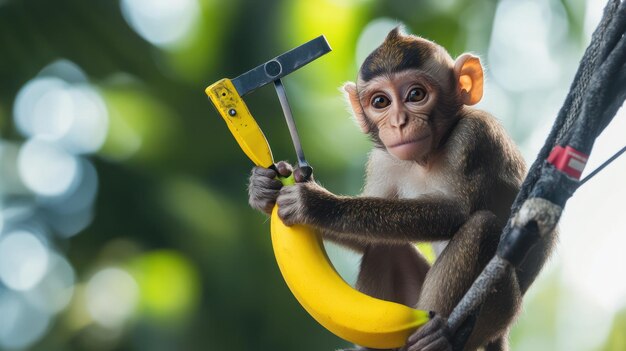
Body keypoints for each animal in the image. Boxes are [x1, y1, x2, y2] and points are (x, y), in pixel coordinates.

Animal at [246, 28, 552, 351]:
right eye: (380, 101)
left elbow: (456, 212)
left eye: (416, 94)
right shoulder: (383, 161)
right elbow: (367, 240)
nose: (398, 123)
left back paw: (440, 334)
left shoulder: (476, 137)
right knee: (384, 249)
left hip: (499, 310)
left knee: (481, 227)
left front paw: (316, 203)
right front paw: (263, 189)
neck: (429, 156)